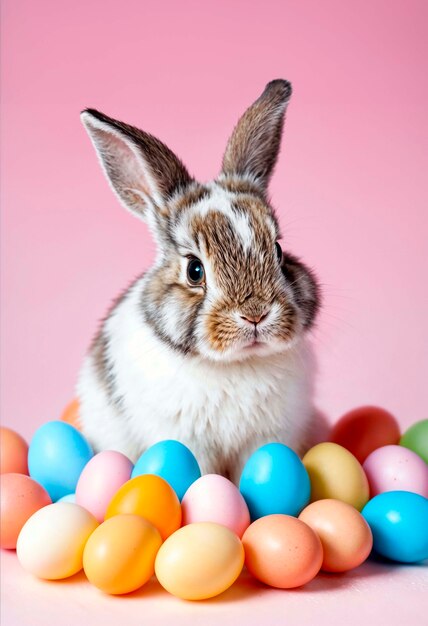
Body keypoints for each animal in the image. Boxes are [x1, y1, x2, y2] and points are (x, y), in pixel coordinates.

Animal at [76, 79, 320, 482]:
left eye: (279, 251)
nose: (255, 314)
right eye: (194, 270)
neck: (234, 364)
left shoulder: (267, 439)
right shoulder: (187, 442)